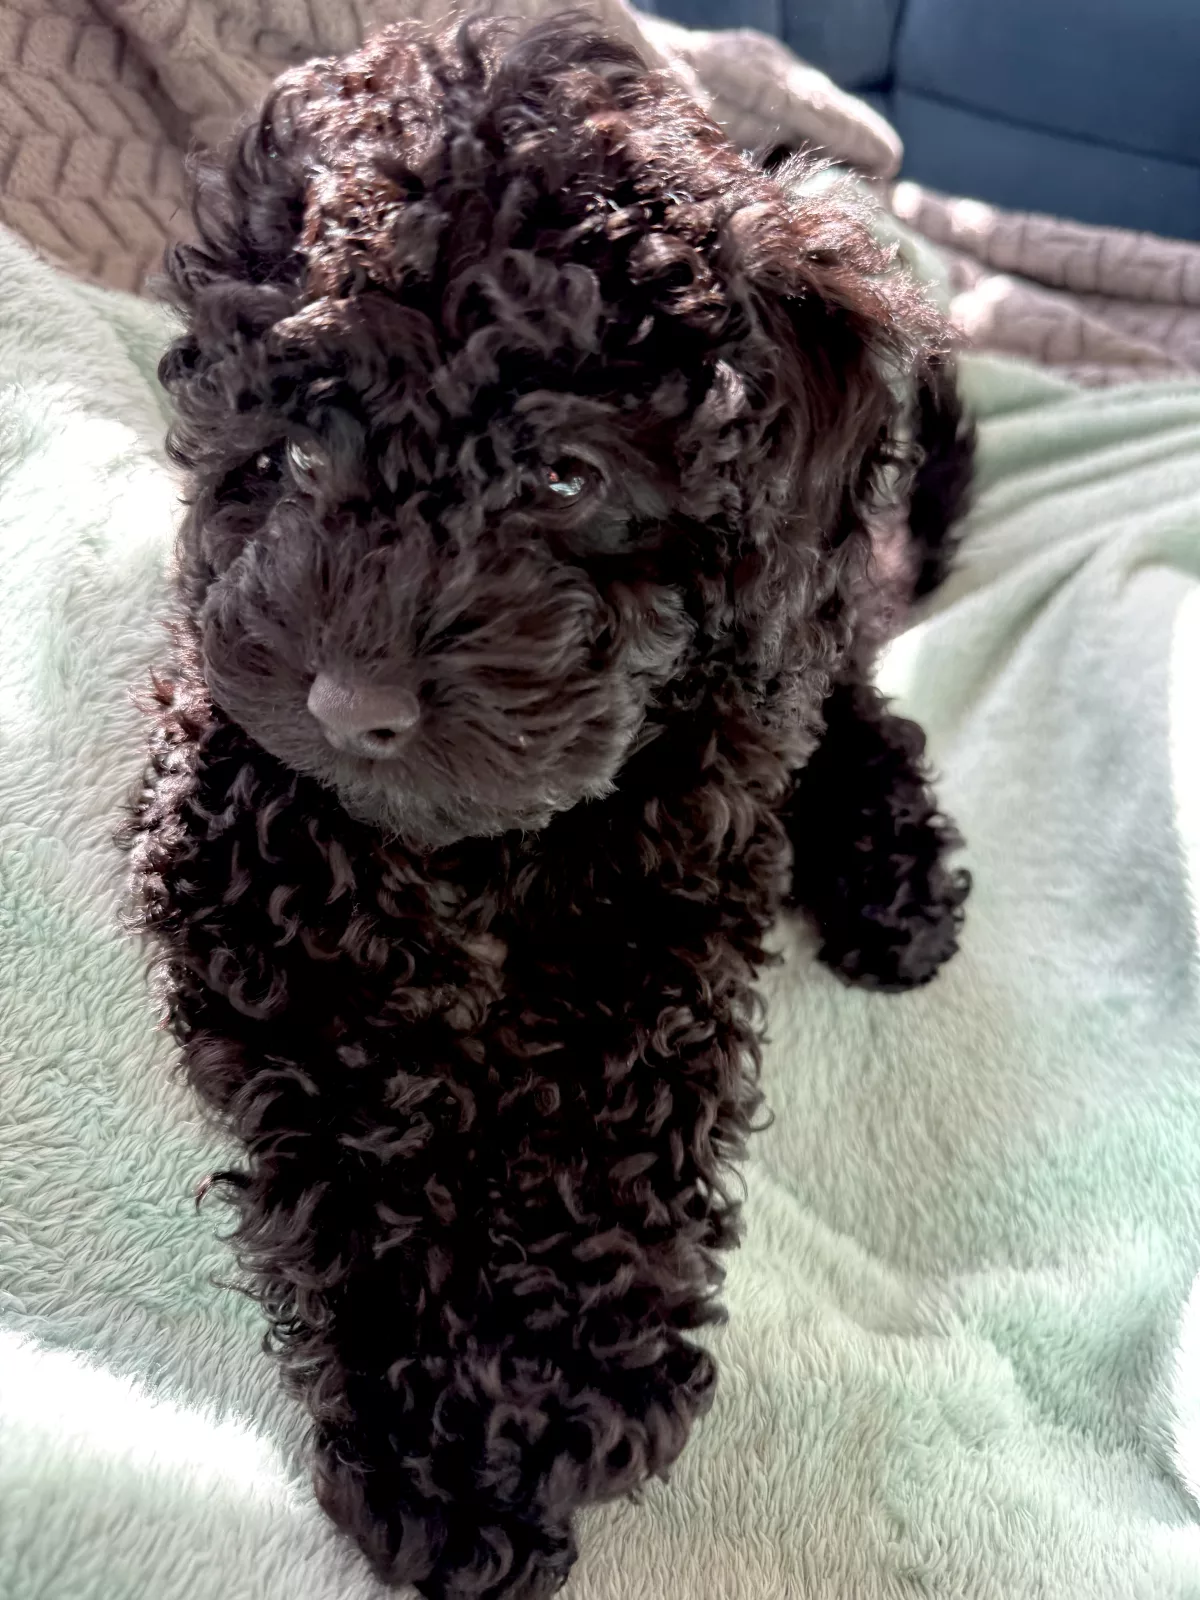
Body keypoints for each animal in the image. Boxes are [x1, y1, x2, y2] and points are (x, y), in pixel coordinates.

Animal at [127, 17, 972, 1598]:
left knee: (851, 704)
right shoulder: (243, 822)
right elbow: (364, 1105)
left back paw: (895, 881)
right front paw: (439, 1438)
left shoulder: (678, 868)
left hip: (799, 634)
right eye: (296, 449)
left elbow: (608, 1102)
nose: (354, 700)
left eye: (567, 475)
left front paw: (541, 1391)